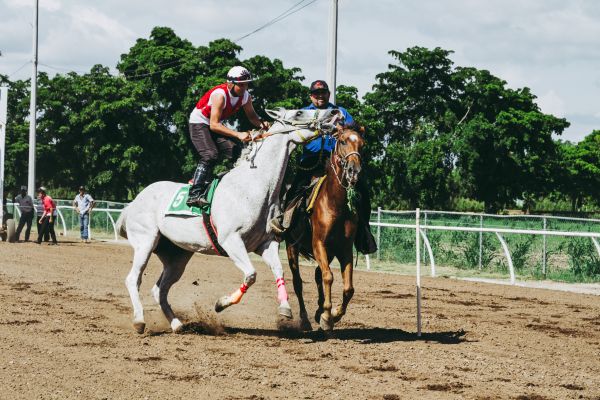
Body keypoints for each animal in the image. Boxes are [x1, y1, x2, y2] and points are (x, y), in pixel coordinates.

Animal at [117, 108, 340, 332]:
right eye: (299, 112)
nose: (333, 113)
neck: (253, 187)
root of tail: (133, 203)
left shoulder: (266, 242)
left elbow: (279, 270)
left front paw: (285, 309)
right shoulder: (231, 240)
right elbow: (251, 274)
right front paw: (221, 303)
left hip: (176, 255)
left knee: (159, 289)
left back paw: (176, 324)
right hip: (145, 242)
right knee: (132, 279)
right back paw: (139, 321)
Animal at [286, 126, 366, 332]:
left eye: (362, 144)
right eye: (343, 141)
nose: (354, 171)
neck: (336, 204)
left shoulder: (344, 249)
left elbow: (348, 288)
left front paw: (334, 314)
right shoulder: (319, 244)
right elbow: (328, 277)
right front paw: (327, 317)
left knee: (317, 274)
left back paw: (317, 311)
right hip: (292, 246)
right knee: (298, 282)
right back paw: (305, 319)